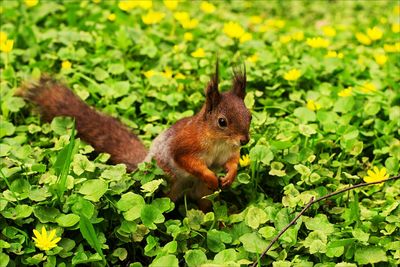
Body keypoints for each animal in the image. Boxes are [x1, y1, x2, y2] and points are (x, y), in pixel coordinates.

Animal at [21, 61, 250, 210]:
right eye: (222, 122)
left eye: (249, 115)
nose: (244, 140)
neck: (218, 141)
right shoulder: (184, 145)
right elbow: (187, 161)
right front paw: (211, 175)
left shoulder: (229, 152)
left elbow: (232, 161)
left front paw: (230, 175)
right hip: (168, 183)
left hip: (201, 193)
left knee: (202, 204)